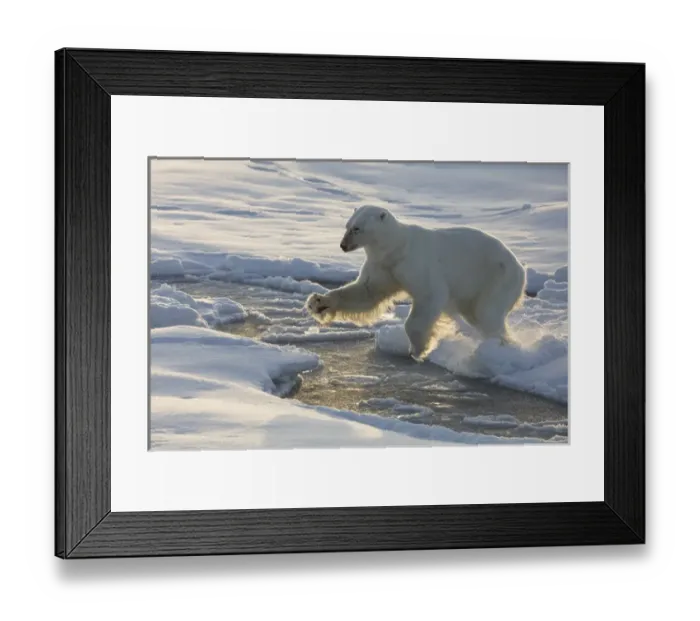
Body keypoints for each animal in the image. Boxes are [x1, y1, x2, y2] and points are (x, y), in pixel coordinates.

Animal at [306, 205, 526, 360]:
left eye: (357, 228)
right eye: (347, 226)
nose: (343, 245)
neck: (397, 246)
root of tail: (521, 268)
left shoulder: (415, 263)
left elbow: (430, 295)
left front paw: (419, 348)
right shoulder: (383, 266)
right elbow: (367, 292)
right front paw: (318, 302)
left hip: (497, 278)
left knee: (488, 314)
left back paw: (500, 348)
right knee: (476, 315)